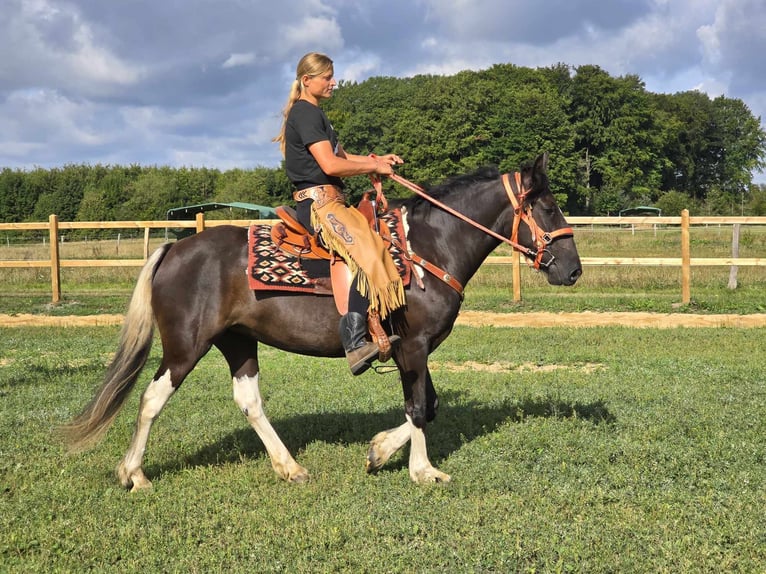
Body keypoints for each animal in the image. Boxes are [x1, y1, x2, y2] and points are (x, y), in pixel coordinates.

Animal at [64, 153, 584, 490]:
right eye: (548, 207)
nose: (573, 270)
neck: (427, 249)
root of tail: (174, 248)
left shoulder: (412, 349)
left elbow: (429, 405)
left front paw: (379, 452)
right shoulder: (413, 345)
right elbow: (419, 407)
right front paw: (421, 471)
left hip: (238, 342)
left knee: (248, 402)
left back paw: (289, 467)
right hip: (185, 346)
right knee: (152, 399)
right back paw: (133, 474)